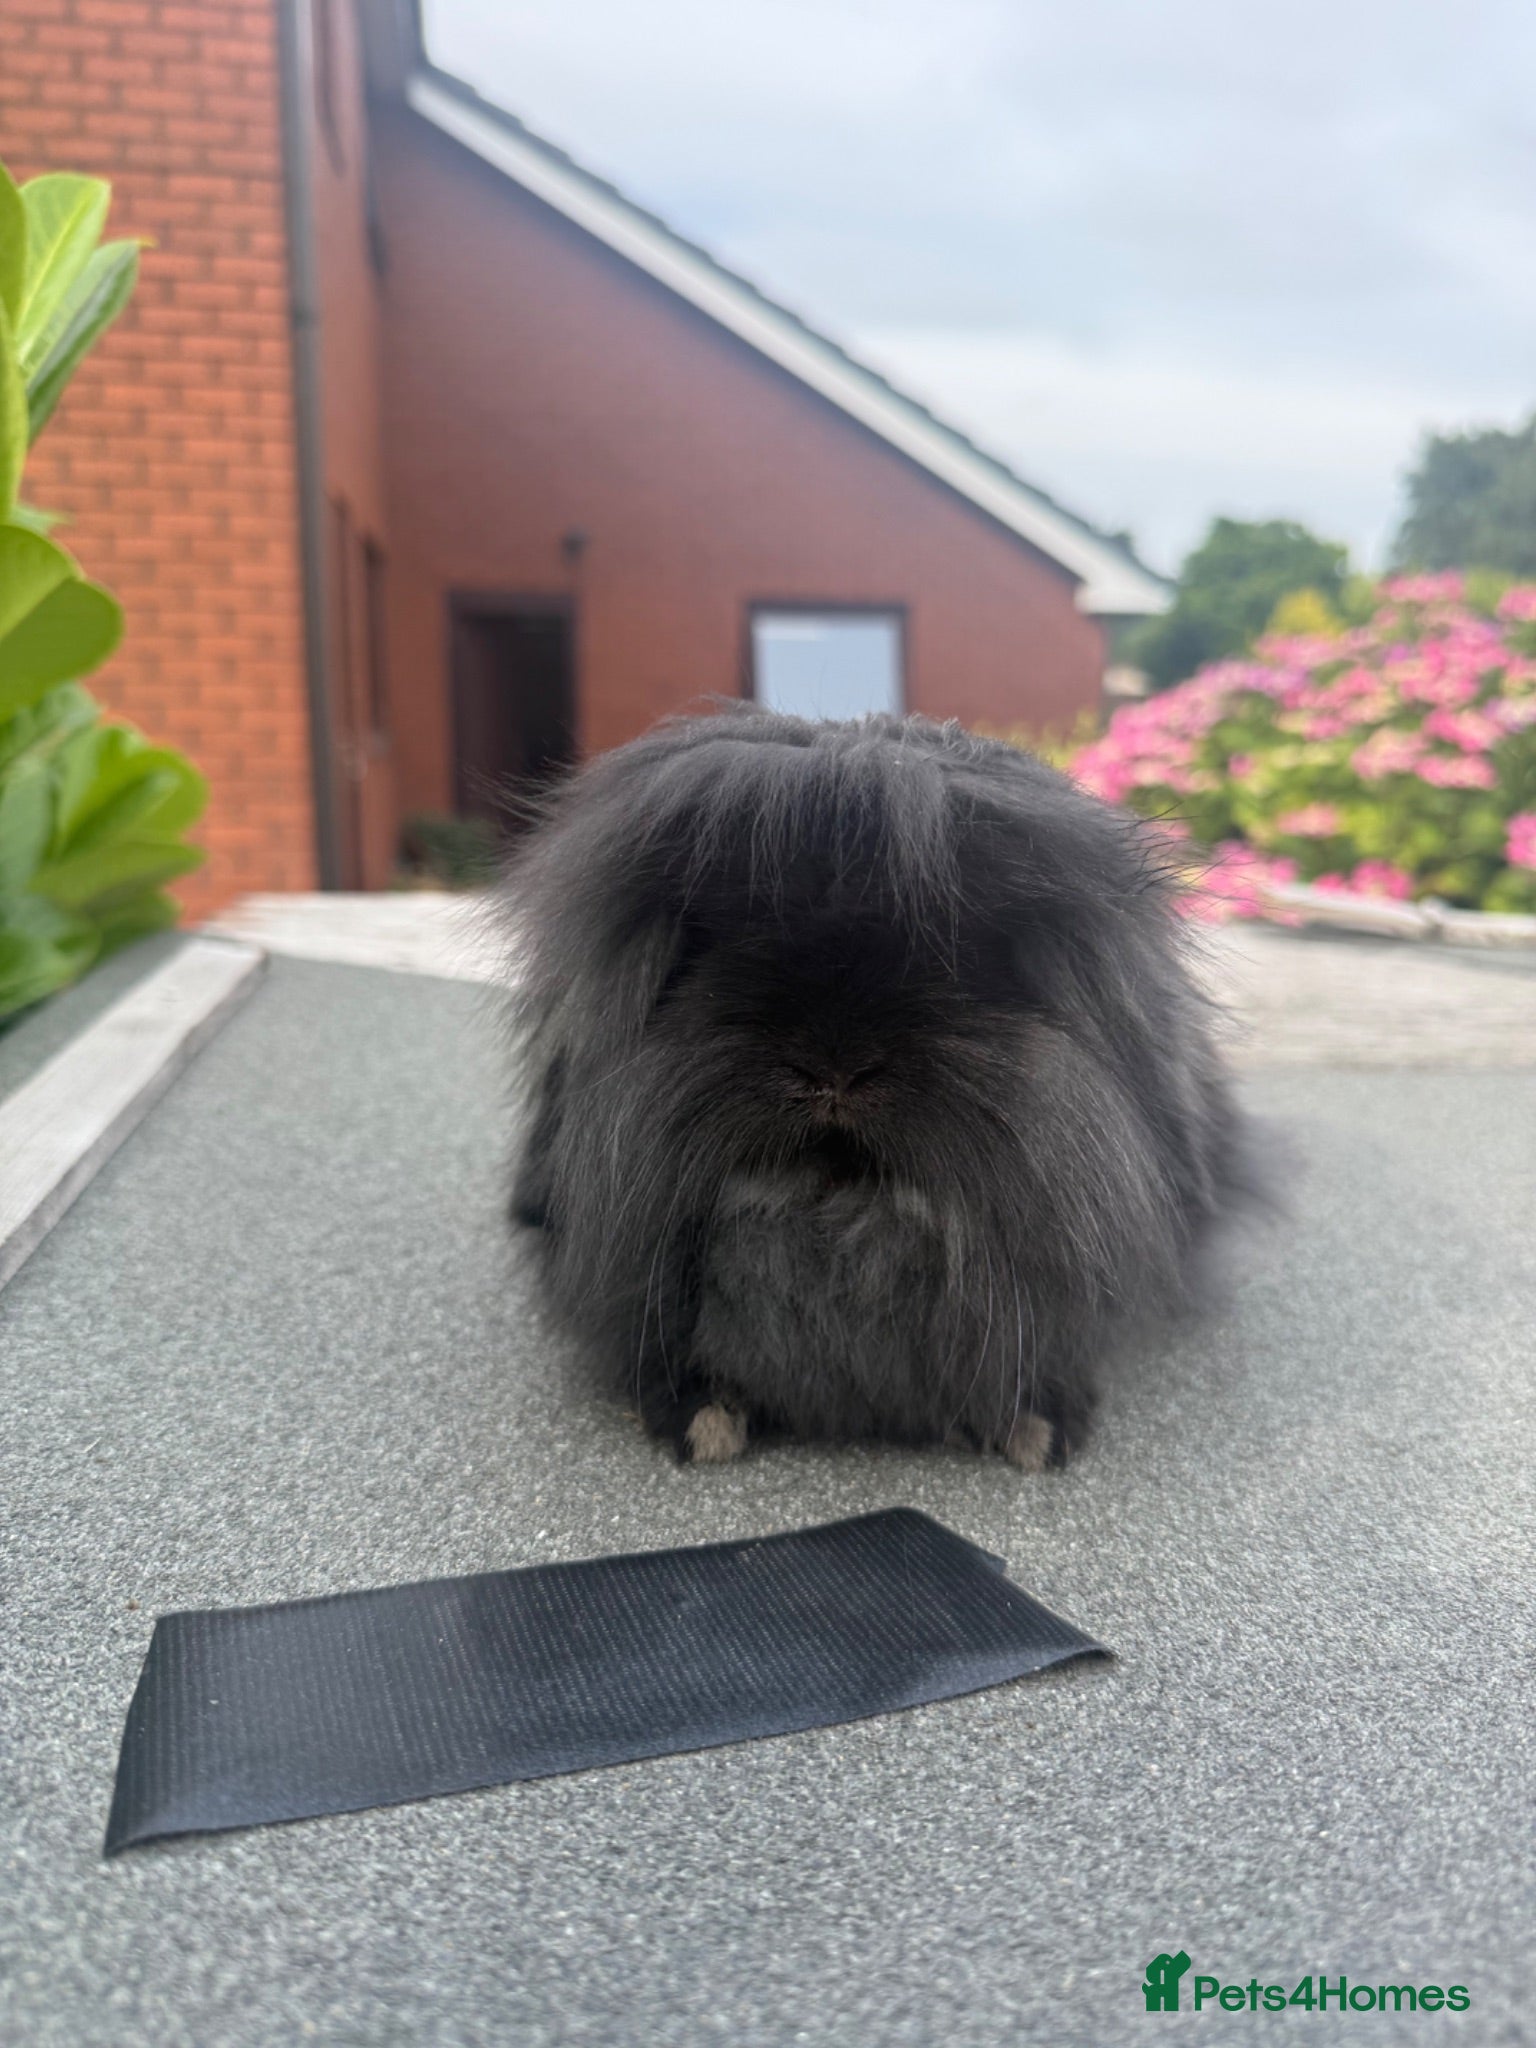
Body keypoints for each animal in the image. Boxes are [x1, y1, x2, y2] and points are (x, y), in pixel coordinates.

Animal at [504, 706, 1253, 1468]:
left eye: (960, 945)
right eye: (714, 934)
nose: (833, 1066)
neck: (842, 1222)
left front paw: (1036, 1428)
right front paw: (700, 1420)